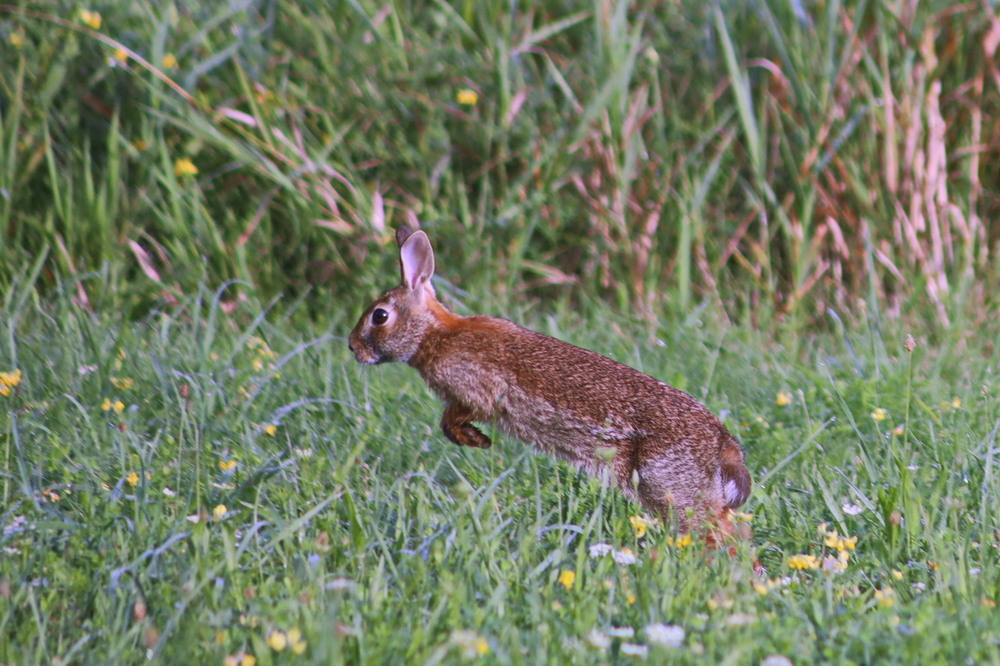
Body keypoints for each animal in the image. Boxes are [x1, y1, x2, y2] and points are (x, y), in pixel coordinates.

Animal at [352, 227, 752, 540]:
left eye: (380, 316)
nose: (353, 347)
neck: (434, 336)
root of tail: (721, 442)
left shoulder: (476, 392)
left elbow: (453, 418)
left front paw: (476, 440)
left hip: (667, 484)